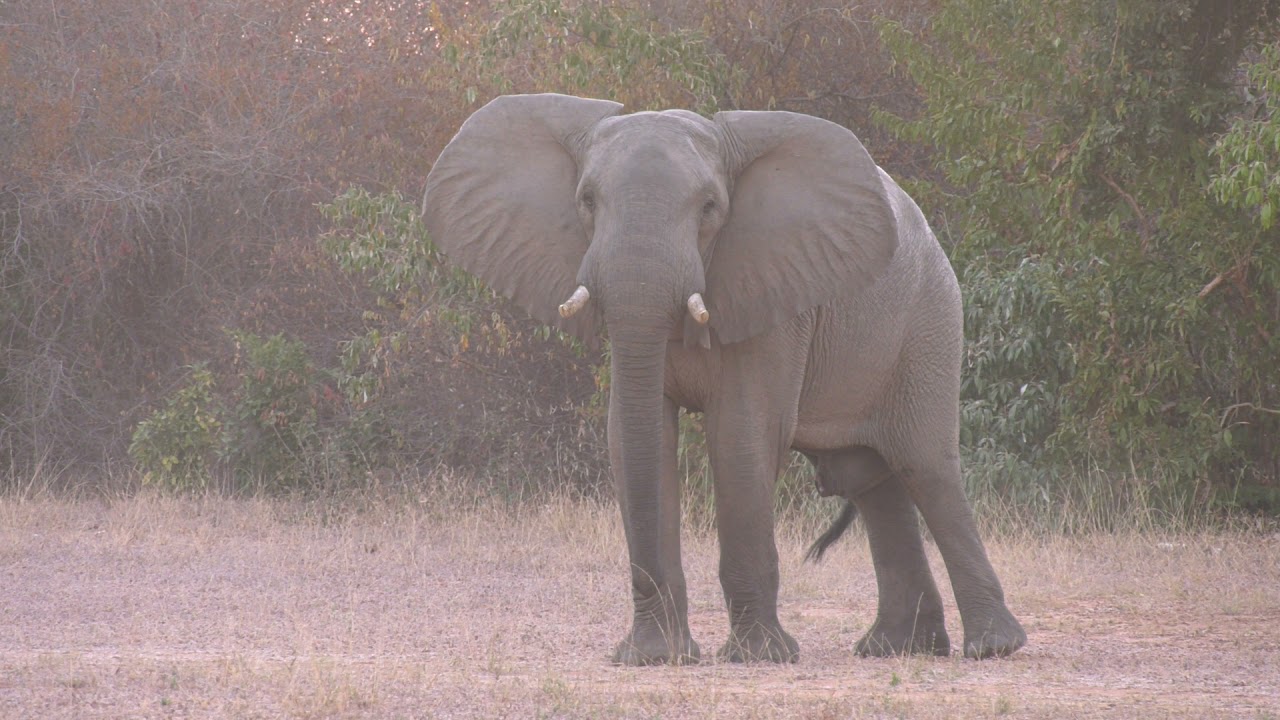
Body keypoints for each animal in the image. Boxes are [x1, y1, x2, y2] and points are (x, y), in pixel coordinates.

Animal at [422, 93, 1026, 665]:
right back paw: (898, 648)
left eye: (710, 207)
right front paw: (655, 658)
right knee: (871, 478)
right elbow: (637, 439)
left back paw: (992, 647)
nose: (652, 648)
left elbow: (740, 437)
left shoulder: (772, 291)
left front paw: (759, 658)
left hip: (929, 320)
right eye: (586, 202)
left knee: (926, 467)